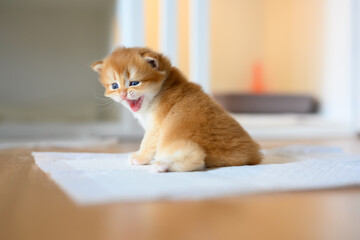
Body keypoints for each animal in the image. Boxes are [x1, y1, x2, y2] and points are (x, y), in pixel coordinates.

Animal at [92, 47, 262, 172]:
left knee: (195, 159)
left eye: (134, 83)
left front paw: (140, 158)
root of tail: (247, 156)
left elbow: (147, 143)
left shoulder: (156, 127)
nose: (122, 94)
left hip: (177, 141)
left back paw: (162, 166)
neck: (162, 89)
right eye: (114, 86)